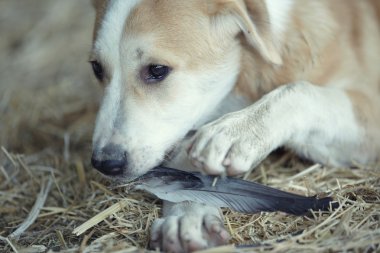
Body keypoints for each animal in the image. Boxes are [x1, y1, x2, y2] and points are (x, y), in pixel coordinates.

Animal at [90, 0, 380, 252]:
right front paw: (188, 213)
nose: (104, 163)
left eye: (157, 69)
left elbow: (299, 91)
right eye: (96, 68)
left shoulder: (369, 112)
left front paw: (236, 132)